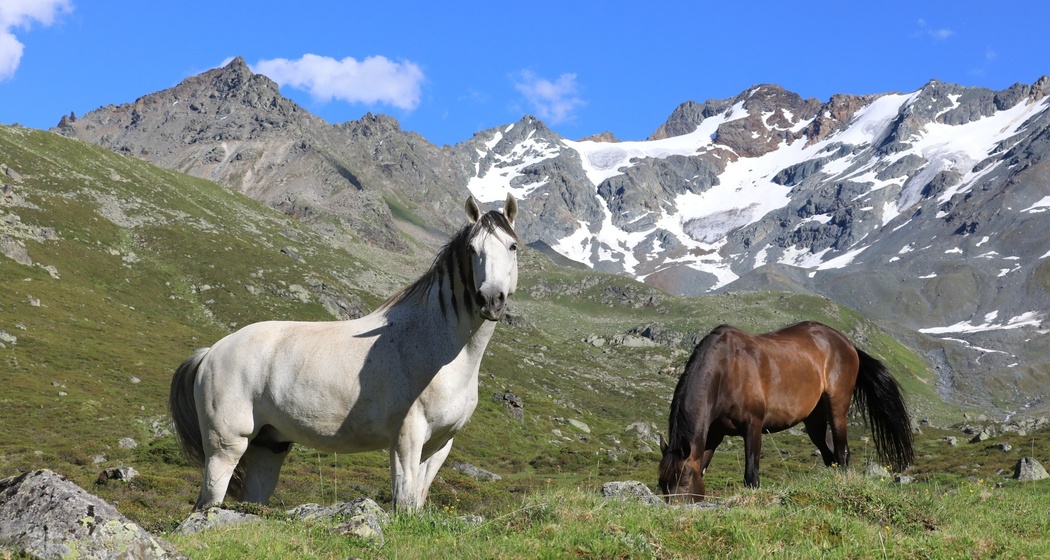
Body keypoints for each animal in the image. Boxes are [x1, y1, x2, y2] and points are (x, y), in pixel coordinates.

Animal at [170, 193, 519, 512]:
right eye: (472, 249)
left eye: (512, 246)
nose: (491, 300)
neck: (439, 350)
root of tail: (211, 352)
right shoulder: (407, 438)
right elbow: (404, 500)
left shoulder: (440, 444)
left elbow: (417, 500)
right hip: (226, 446)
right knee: (209, 499)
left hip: (268, 446)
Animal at [657, 321, 914, 503]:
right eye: (662, 484)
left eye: (684, 482)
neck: (725, 370)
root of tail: (847, 343)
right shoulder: (714, 433)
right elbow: (703, 464)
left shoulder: (753, 427)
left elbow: (751, 475)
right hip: (814, 420)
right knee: (830, 454)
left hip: (837, 407)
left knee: (842, 452)